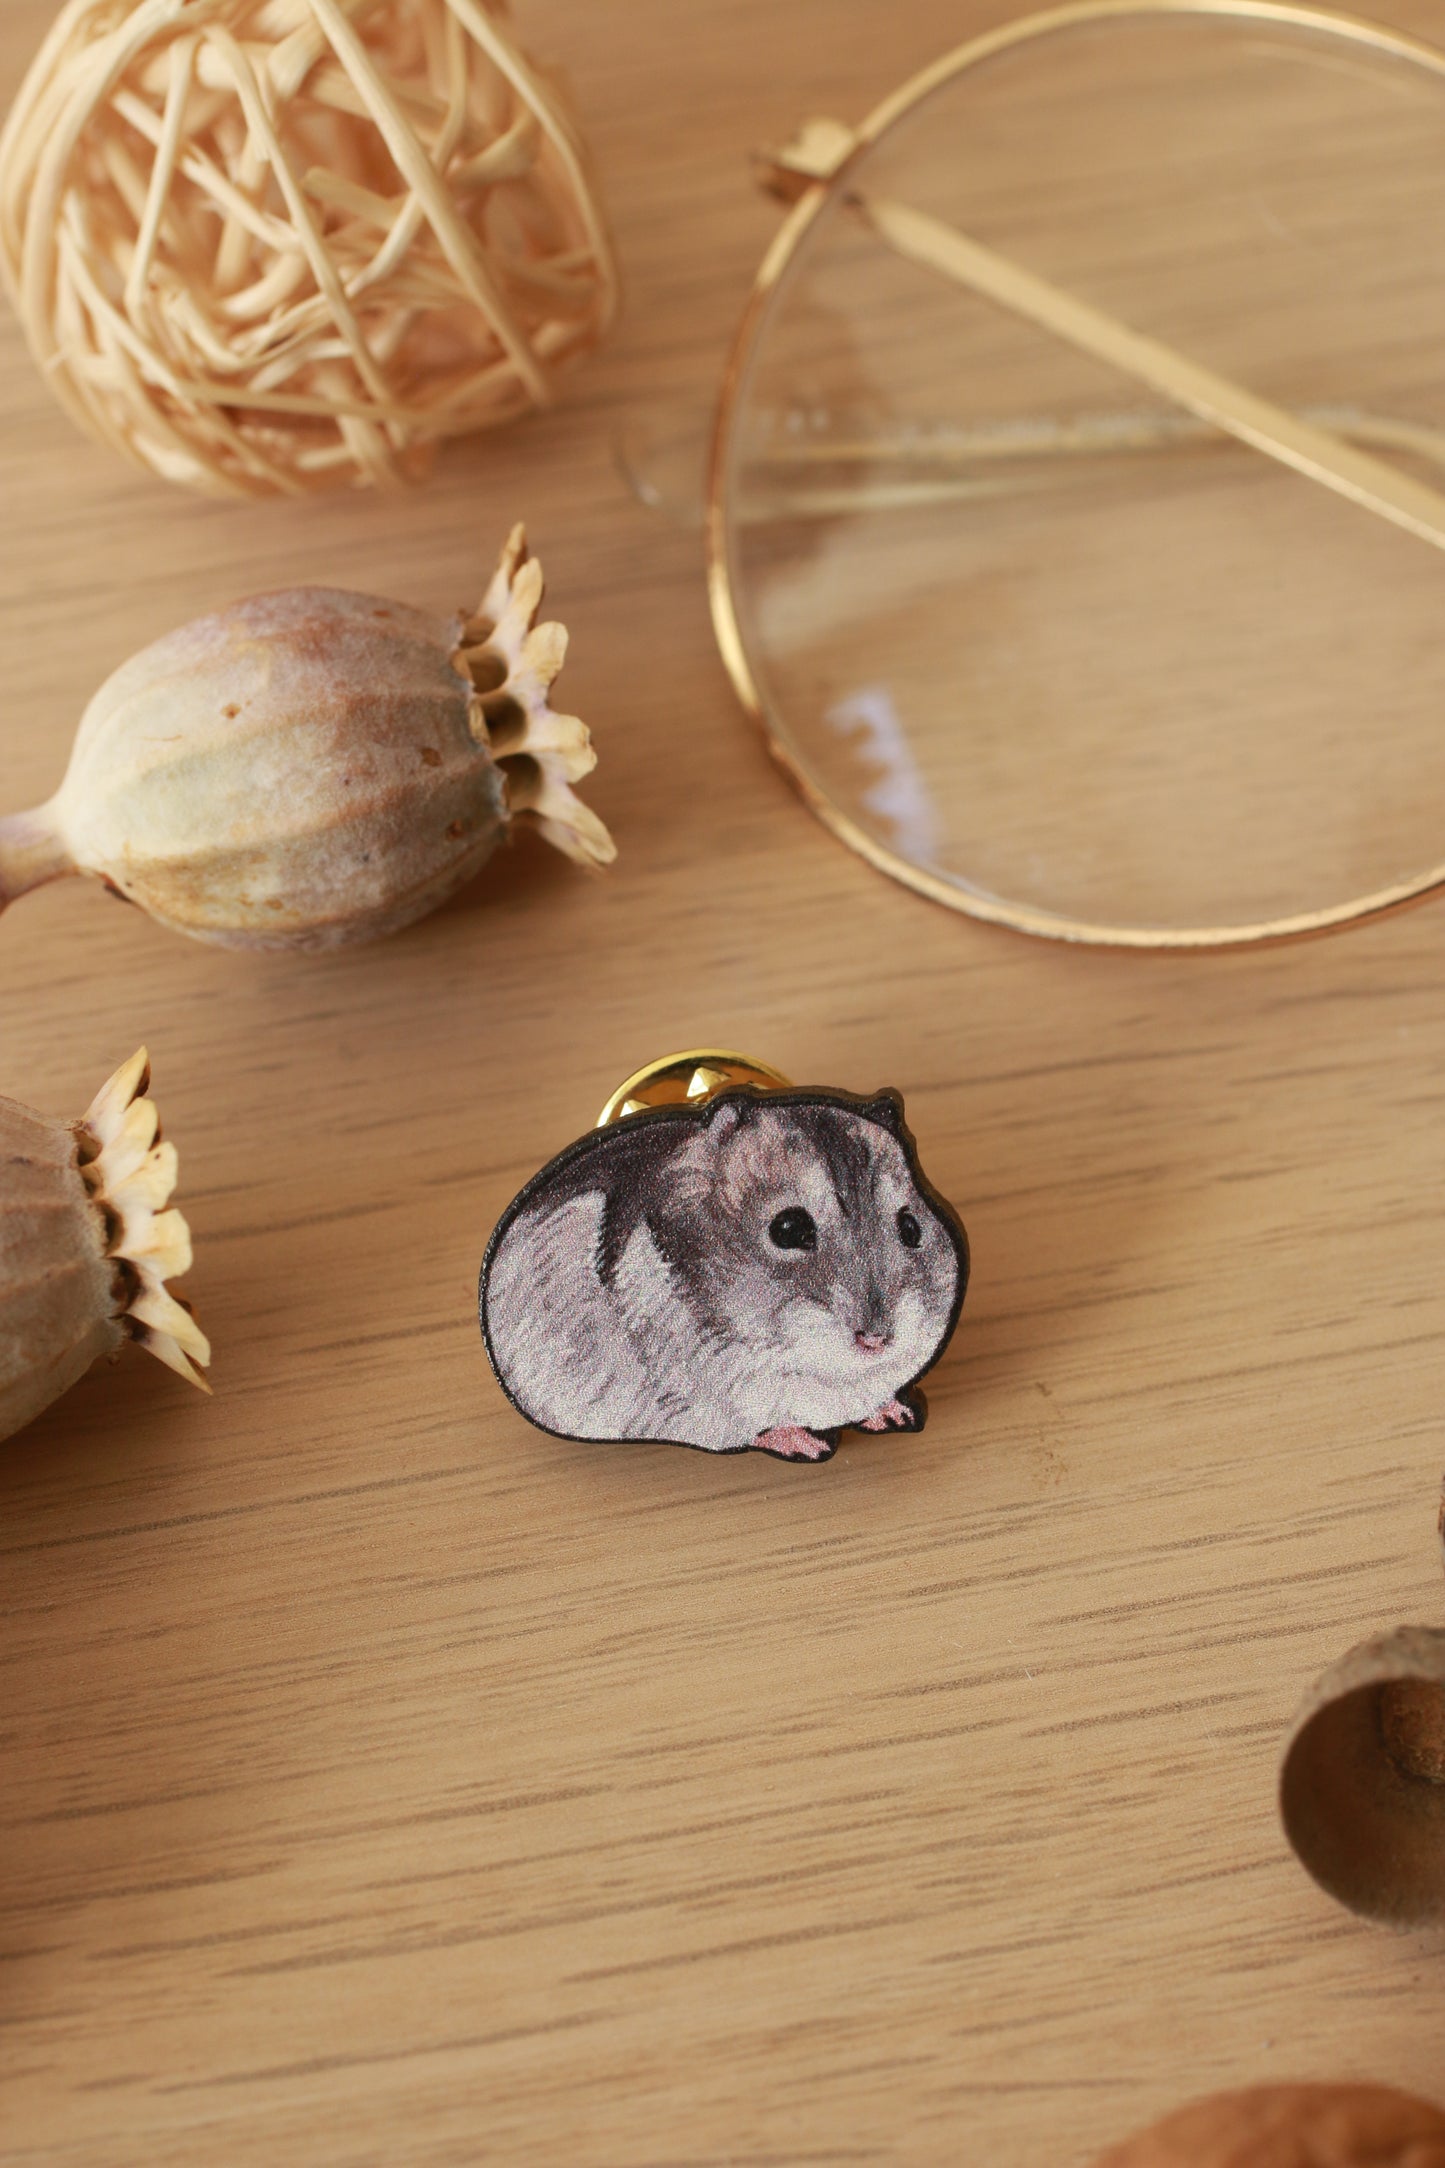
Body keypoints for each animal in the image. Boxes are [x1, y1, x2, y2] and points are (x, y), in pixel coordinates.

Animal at [480, 1086, 968, 1461]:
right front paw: (808, 1445)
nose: (877, 1340)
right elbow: (755, 1425)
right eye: (788, 1228)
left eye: (911, 1227)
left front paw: (896, 1413)